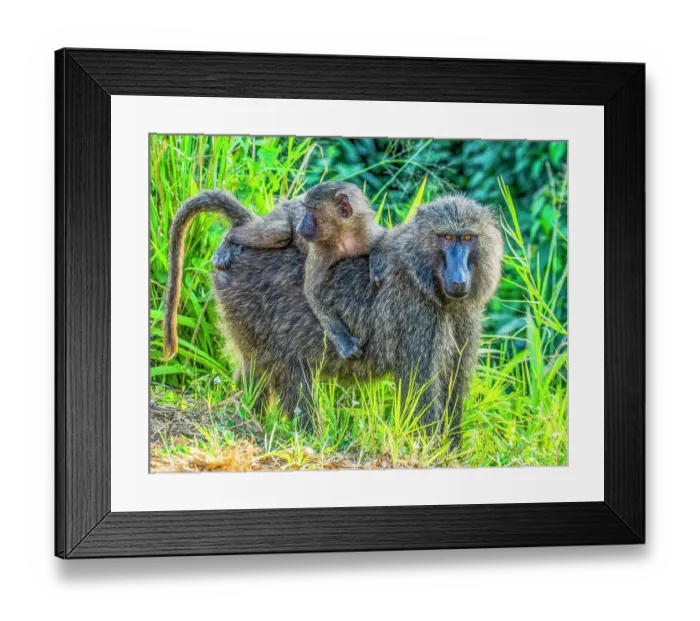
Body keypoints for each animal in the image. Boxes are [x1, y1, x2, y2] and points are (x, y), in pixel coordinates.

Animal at [210, 181, 386, 359]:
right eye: (306, 209)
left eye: (311, 211)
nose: (300, 227)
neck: (344, 236)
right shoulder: (320, 250)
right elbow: (311, 291)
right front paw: (344, 342)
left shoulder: (365, 234)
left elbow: (382, 240)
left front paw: (377, 264)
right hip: (280, 214)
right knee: (282, 231)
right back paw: (228, 241)